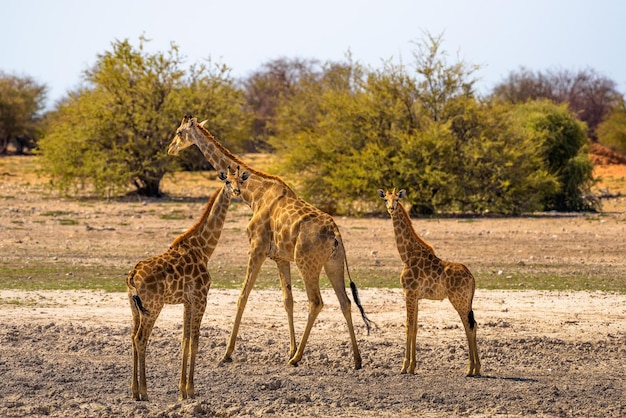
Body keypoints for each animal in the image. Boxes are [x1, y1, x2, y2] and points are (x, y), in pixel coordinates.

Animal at [125, 171, 245, 402]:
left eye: (240, 180)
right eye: (227, 180)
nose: (237, 191)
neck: (203, 249)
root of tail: (132, 277)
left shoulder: (187, 302)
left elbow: (185, 340)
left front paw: (182, 390)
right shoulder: (201, 298)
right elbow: (195, 341)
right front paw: (191, 390)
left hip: (134, 308)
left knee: (132, 337)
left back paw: (134, 392)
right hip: (153, 307)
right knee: (141, 339)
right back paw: (144, 392)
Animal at [167, 114, 370, 370]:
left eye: (179, 132)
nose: (170, 149)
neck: (254, 195)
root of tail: (335, 235)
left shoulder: (257, 248)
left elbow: (242, 297)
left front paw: (227, 354)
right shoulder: (280, 258)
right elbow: (287, 300)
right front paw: (289, 349)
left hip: (308, 264)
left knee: (316, 302)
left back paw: (297, 358)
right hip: (333, 263)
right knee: (345, 302)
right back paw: (356, 359)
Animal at [376, 188, 478, 378]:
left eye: (397, 199)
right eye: (385, 199)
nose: (391, 208)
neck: (407, 254)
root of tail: (472, 278)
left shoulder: (409, 293)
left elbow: (408, 326)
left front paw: (404, 367)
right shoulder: (416, 296)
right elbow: (415, 327)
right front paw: (412, 367)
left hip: (458, 300)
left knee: (468, 326)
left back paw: (470, 369)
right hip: (467, 301)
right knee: (473, 324)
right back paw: (477, 369)